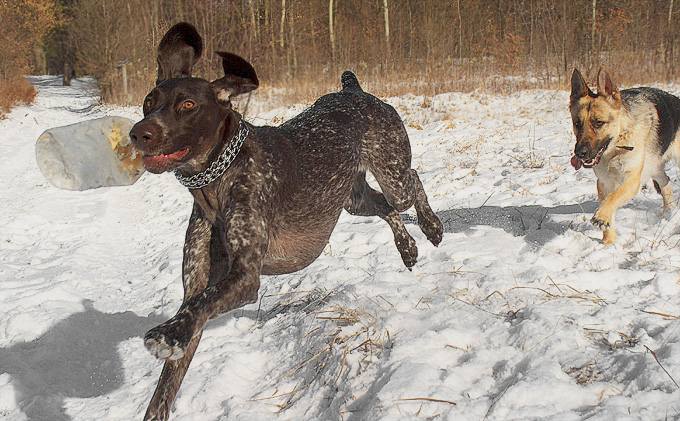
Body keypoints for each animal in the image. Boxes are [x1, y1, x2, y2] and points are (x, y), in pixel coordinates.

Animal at [129, 23, 444, 420]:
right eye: (148, 102)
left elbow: (202, 305)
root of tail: (353, 90)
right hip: (352, 200)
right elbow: (168, 381)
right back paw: (407, 248)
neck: (217, 181)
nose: (139, 133)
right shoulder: (196, 292)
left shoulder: (244, 276)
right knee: (388, 209)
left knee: (411, 184)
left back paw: (431, 226)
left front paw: (164, 336)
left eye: (188, 105)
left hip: (392, 172)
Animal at [572, 67, 680, 244]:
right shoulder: (604, 183)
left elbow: (613, 197)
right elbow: (609, 203)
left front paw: (602, 216)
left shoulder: (632, 180)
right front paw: (608, 242)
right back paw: (668, 213)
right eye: (577, 124)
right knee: (666, 182)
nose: (579, 153)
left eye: (598, 123)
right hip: (654, 166)